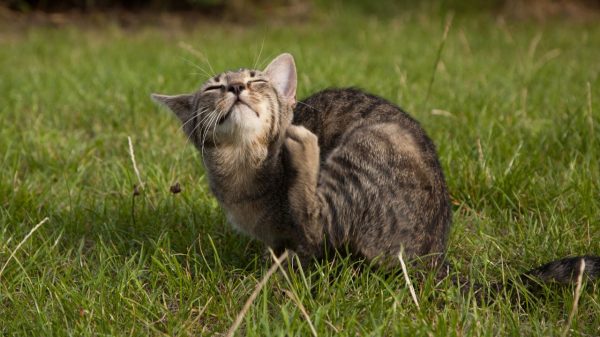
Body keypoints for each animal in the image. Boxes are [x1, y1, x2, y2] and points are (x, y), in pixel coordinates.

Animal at [152, 51, 596, 286]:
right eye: (213, 87)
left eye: (256, 80)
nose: (236, 87)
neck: (243, 169)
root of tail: (435, 259)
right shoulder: (275, 238)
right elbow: (280, 251)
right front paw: (271, 272)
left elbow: (303, 236)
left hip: (367, 145)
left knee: (316, 218)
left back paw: (305, 146)